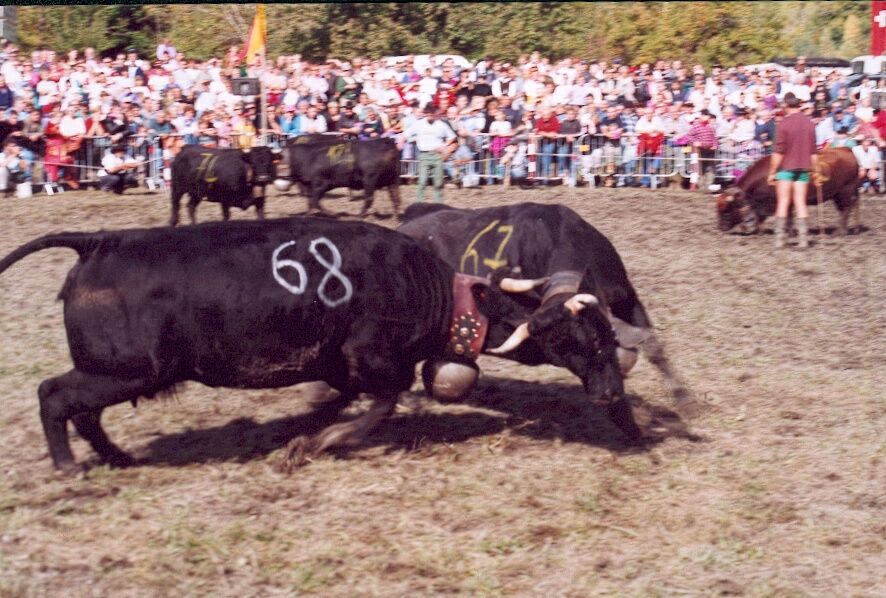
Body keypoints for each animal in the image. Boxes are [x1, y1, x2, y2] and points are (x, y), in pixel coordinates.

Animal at [0, 217, 634, 475]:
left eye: (607, 333)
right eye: (585, 339)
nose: (612, 393)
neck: (425, 287)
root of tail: (98, 243)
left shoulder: (338, 364)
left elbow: (340, 399)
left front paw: (304, 431)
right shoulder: (375, 360)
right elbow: (379, 406)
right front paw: (314, 445)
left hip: (119, 371)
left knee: (83, 412)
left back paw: (116, 458)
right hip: (128, 369)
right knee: (55, 396)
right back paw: (68, 466)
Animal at [399, 202, 695, 417]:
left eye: (594, 337)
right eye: (556, 350)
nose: (604, 396)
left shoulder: (626, 296)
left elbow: (653, 348)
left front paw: (684, 400)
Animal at [716, 147, 861, 235]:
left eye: (727, 211)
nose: (721, 228)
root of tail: (847, 150)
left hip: (845, 192)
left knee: (846, 209)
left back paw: (841, 231)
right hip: (838, 195)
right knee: (845, 209)